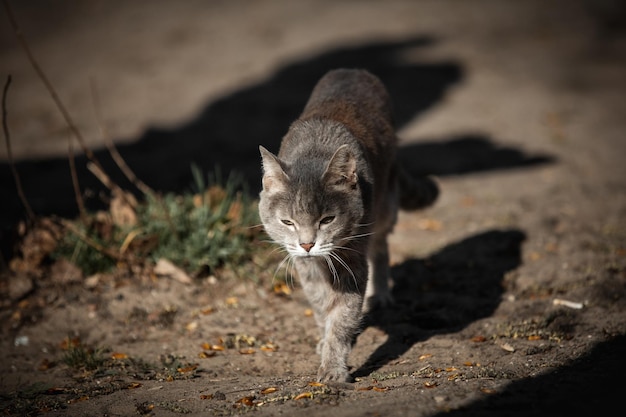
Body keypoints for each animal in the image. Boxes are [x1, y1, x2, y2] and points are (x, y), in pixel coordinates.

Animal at [256, 70, 436, 382]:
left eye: (327, 220)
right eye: (287, 222)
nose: (307, 244)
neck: (315, 149)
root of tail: (352, 70)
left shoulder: (353, 260)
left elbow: (343, 316)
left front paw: (333, 367)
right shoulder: (305, 265)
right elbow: (319, 305)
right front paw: (323, 338)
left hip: (384, 207)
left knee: (381, 247)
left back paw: (381, 294)